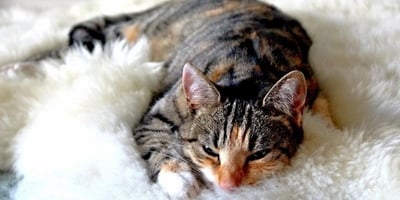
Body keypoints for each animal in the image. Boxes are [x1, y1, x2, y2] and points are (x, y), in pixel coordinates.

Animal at [65, 0, 318, 198]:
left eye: (259, 154)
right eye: (209, 150)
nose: (228, 185)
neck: (249, 69)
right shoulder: (157, 114)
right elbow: (157, 140)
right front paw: (180, 179)